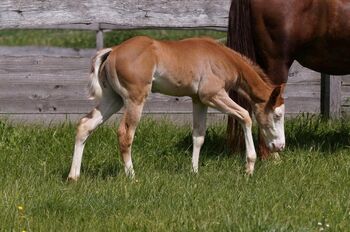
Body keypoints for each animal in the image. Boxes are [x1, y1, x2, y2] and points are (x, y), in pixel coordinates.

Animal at [67, 35, 284, 181]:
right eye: (277, 115)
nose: (280, 146)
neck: (222, 57)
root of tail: (114, 50)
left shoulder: (199, 100)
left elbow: (198, 136)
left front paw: (194, 172)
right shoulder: (213, 95)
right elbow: (245, 116)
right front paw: (250, 167)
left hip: (113, 99)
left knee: (85, 125)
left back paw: (73, 176)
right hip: (135, 100)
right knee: (125, 134)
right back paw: (132, 176)